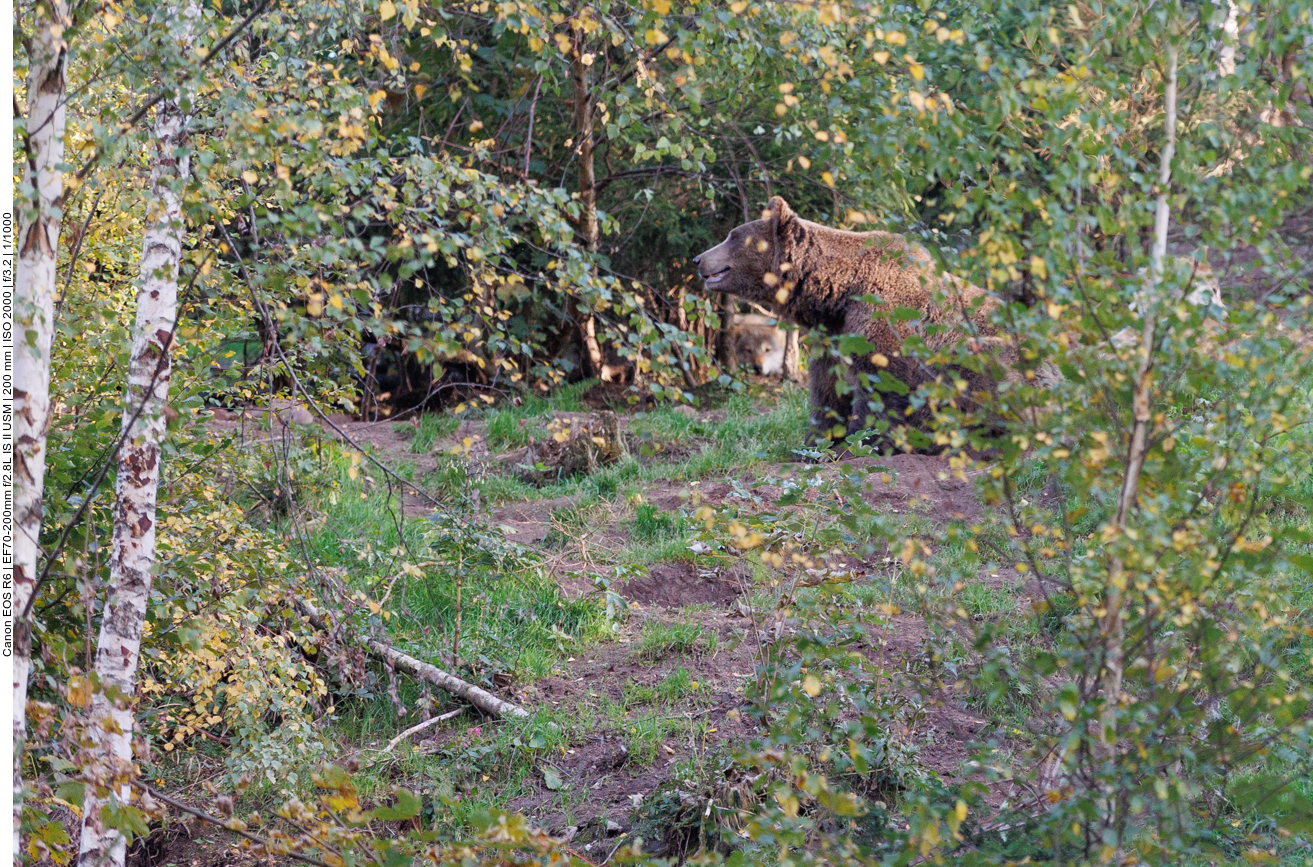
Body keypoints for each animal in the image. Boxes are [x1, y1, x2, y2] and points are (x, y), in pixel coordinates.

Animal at [693, 196, 1005, 449]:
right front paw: (815, 442)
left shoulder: (880, 318)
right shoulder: (832, 334)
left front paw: (862, 440)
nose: (698, 259)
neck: (836, 295)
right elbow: (827, 389)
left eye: (733, 236)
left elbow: (880, 384)